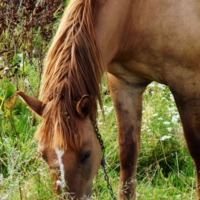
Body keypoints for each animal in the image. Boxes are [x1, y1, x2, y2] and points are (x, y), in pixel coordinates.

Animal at [16, 0, 200, 199]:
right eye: (43, 155)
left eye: (86, 154)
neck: (134, 13)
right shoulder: (125, 83)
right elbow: (128, 152)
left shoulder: (186, 83)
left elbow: (196, 149)